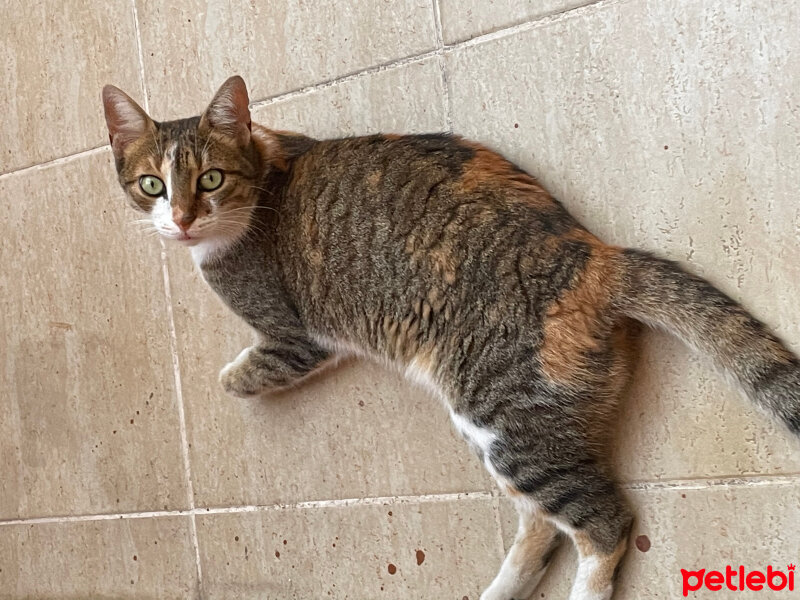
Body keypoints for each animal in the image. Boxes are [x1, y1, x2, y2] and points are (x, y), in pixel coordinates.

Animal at [101, 76, 800, 600]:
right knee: (542, 520)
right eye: (152, 185)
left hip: (504, 413)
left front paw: (230, 378)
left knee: (603, 521)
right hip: (492, 424)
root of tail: (591, 256)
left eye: (210, 180)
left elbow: (249, 372)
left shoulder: (294, 335)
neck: (262, 177)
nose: (181, 221)